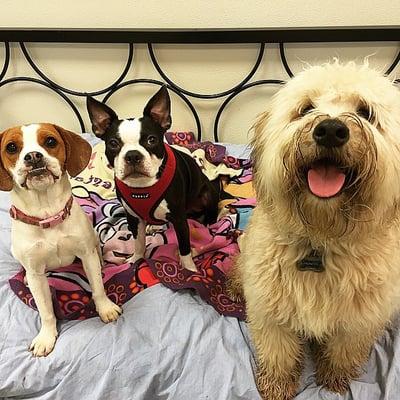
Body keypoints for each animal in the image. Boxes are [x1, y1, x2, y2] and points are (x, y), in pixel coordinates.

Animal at [0, 124, 122, 356]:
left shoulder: (86, 255)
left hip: (93, 238)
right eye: (11, 147)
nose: (33, 156)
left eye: (50, 141)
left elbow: (98, 288)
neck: (47, 214)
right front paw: (46, 336)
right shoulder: (37, 273)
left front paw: (105, 308)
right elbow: (46, 310)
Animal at [231, 61, 400, 398]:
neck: (322, 240)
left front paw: (334, 379)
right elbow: (279, 355)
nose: (331, 130)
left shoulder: (359, 321)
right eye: (306, 108)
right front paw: (277, 386)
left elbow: (343, 352)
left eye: (366, 112)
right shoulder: (271, 315)